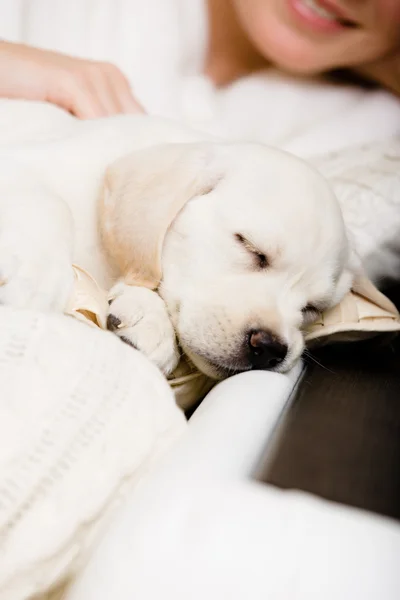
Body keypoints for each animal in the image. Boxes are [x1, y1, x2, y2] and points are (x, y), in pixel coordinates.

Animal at [0, 98, 356, 380]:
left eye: (313, 308)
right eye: (249, 247)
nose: (270, 348)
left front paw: (147, 316)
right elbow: (56, 206)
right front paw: (36, 278)